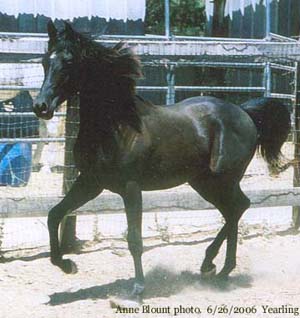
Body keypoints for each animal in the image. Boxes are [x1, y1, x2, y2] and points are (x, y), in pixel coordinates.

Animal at [32, 21, 290, 296]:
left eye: (68, 62)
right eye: (45, 61)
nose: (41, 107)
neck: (116, 125)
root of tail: (245, 113)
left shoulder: (130, 188)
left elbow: (134, 239)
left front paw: (138, 288)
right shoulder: (90, 182)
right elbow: (54, 215)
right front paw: (67, 265)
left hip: (223, 179)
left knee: (236, 208)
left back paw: (220, 268)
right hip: (204, 182)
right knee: (236, 208)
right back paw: (213, 266)